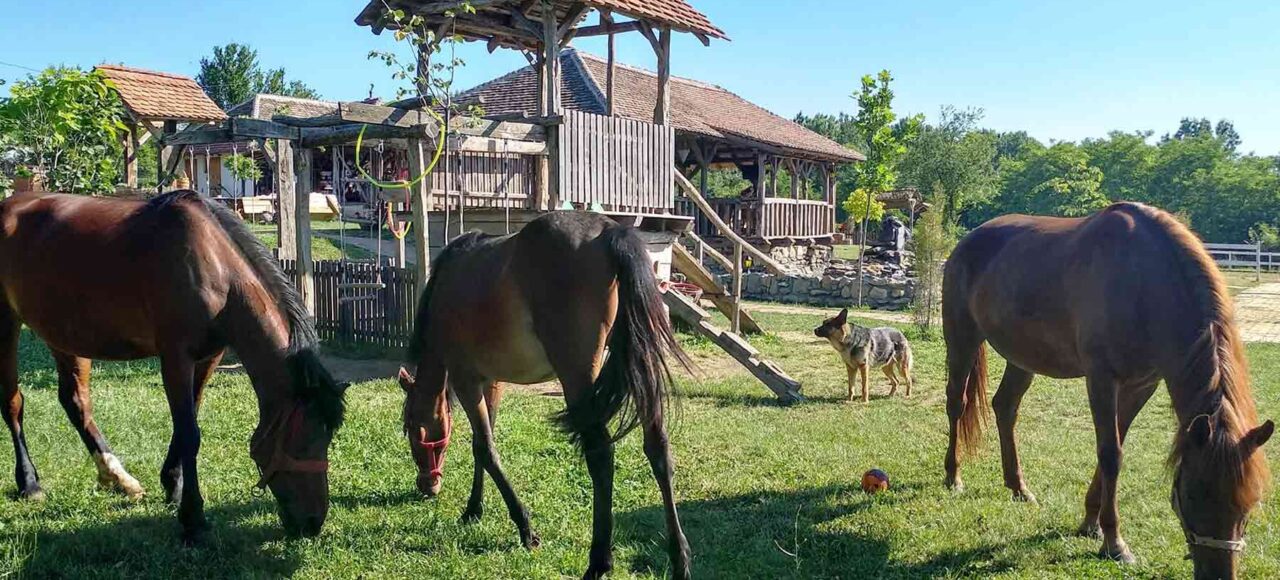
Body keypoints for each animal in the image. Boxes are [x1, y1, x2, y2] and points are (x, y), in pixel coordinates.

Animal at [0, 192, 345, 540]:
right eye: (304, 439)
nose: (313, 522)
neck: (215, 268)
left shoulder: (208, 357)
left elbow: (188, 420)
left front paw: (173, 486)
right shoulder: (175, 357)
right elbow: (189, 432)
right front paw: (193, 518)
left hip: (64, 335)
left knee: (75, 402)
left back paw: (119, 479)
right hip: (9, 324)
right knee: (13, 403)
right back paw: (30, 483)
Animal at [399, 211, 696, 578]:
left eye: (412, 429)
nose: (427, 486)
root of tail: (611, 232)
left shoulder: (466, 379)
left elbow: (485, 449)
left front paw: (524, 527)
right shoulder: (491, 382)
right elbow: (482, 444)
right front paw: (474, 509)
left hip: (577, 376)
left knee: (601, 455)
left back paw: (599, 562)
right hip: (639, 367)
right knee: (658, 448)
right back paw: (679, 558)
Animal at [942, 201, 1269, 576]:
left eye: (1249, 503)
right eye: (1191, 495)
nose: (1218, 575)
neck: (1145, 282)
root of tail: (969, 240)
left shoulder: (1142, 386)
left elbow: (1116, 445)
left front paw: (1090, 522)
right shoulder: (1100, 379)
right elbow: (1111, 454)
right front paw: (1114, 543)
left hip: (1022, 358)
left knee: (1005, 407)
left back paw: (1018, 487)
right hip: (962, 339)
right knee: (956, 403)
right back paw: (953, 477)